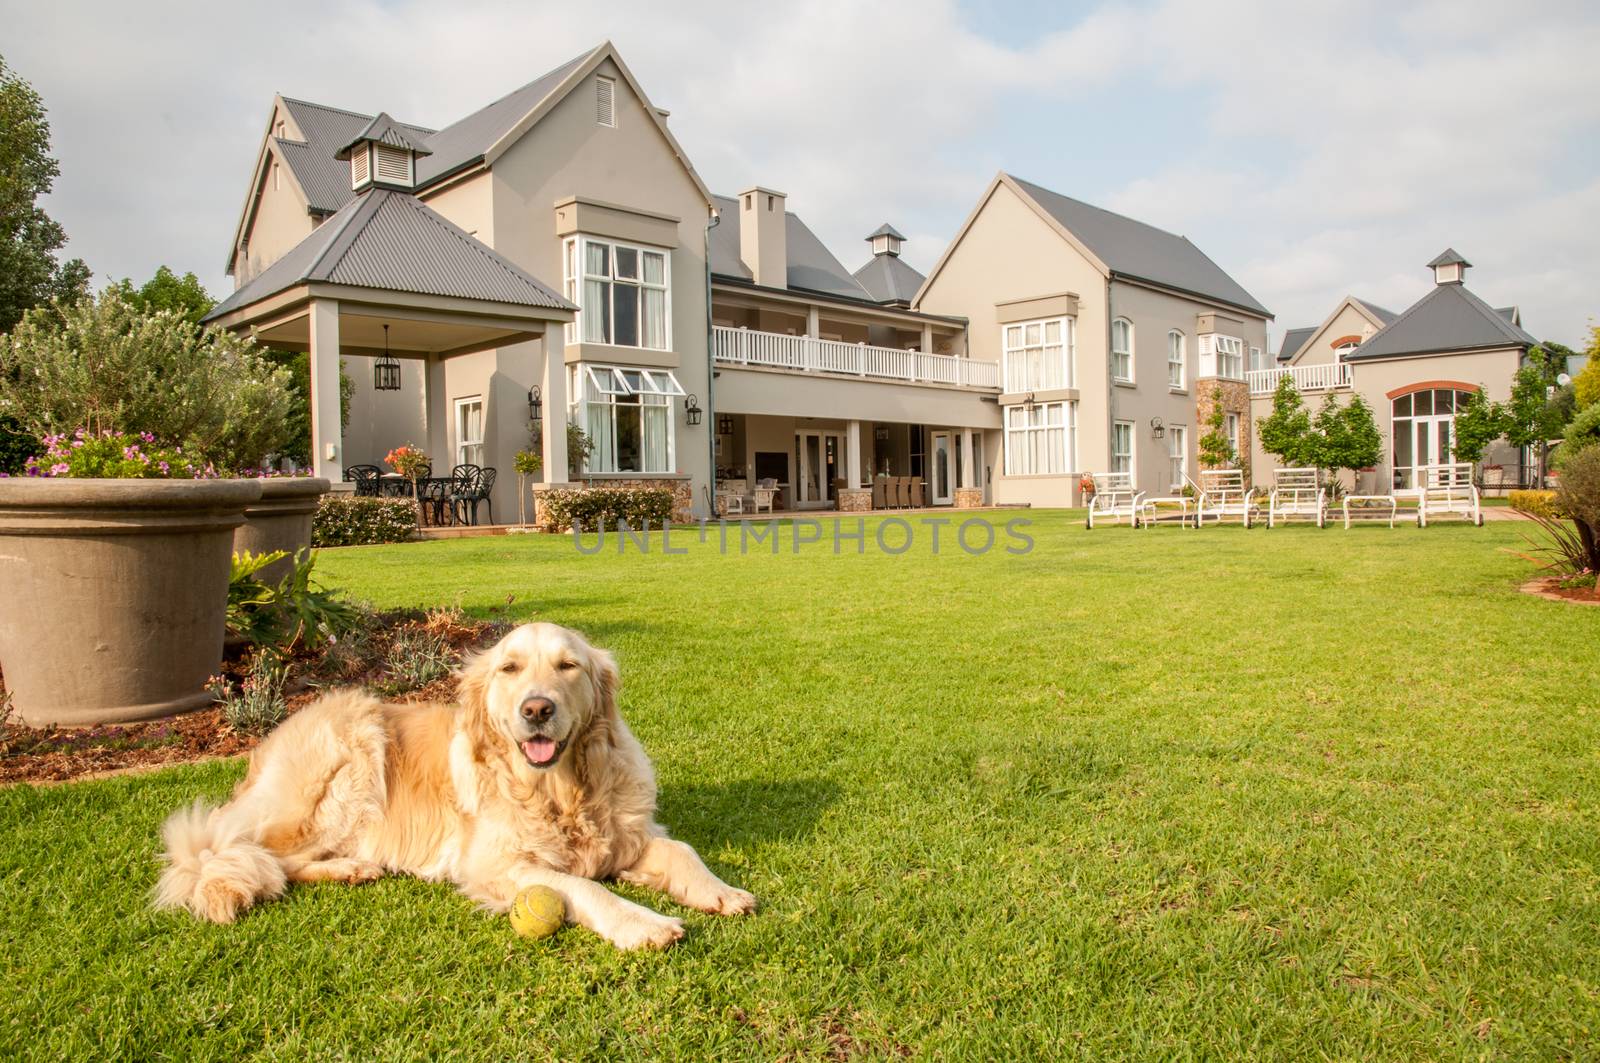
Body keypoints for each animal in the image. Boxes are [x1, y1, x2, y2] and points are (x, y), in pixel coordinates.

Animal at [152, 617, 752, 947]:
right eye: (510, 668)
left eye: (568, 666)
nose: (538, 709)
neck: (560, 791)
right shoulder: (495, 864)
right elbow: (583, 886)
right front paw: (642, 924)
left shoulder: (626, 834)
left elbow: (682, 850)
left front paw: (720, 891)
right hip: (352, 748)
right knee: (257, 854)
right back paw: (345, 867)